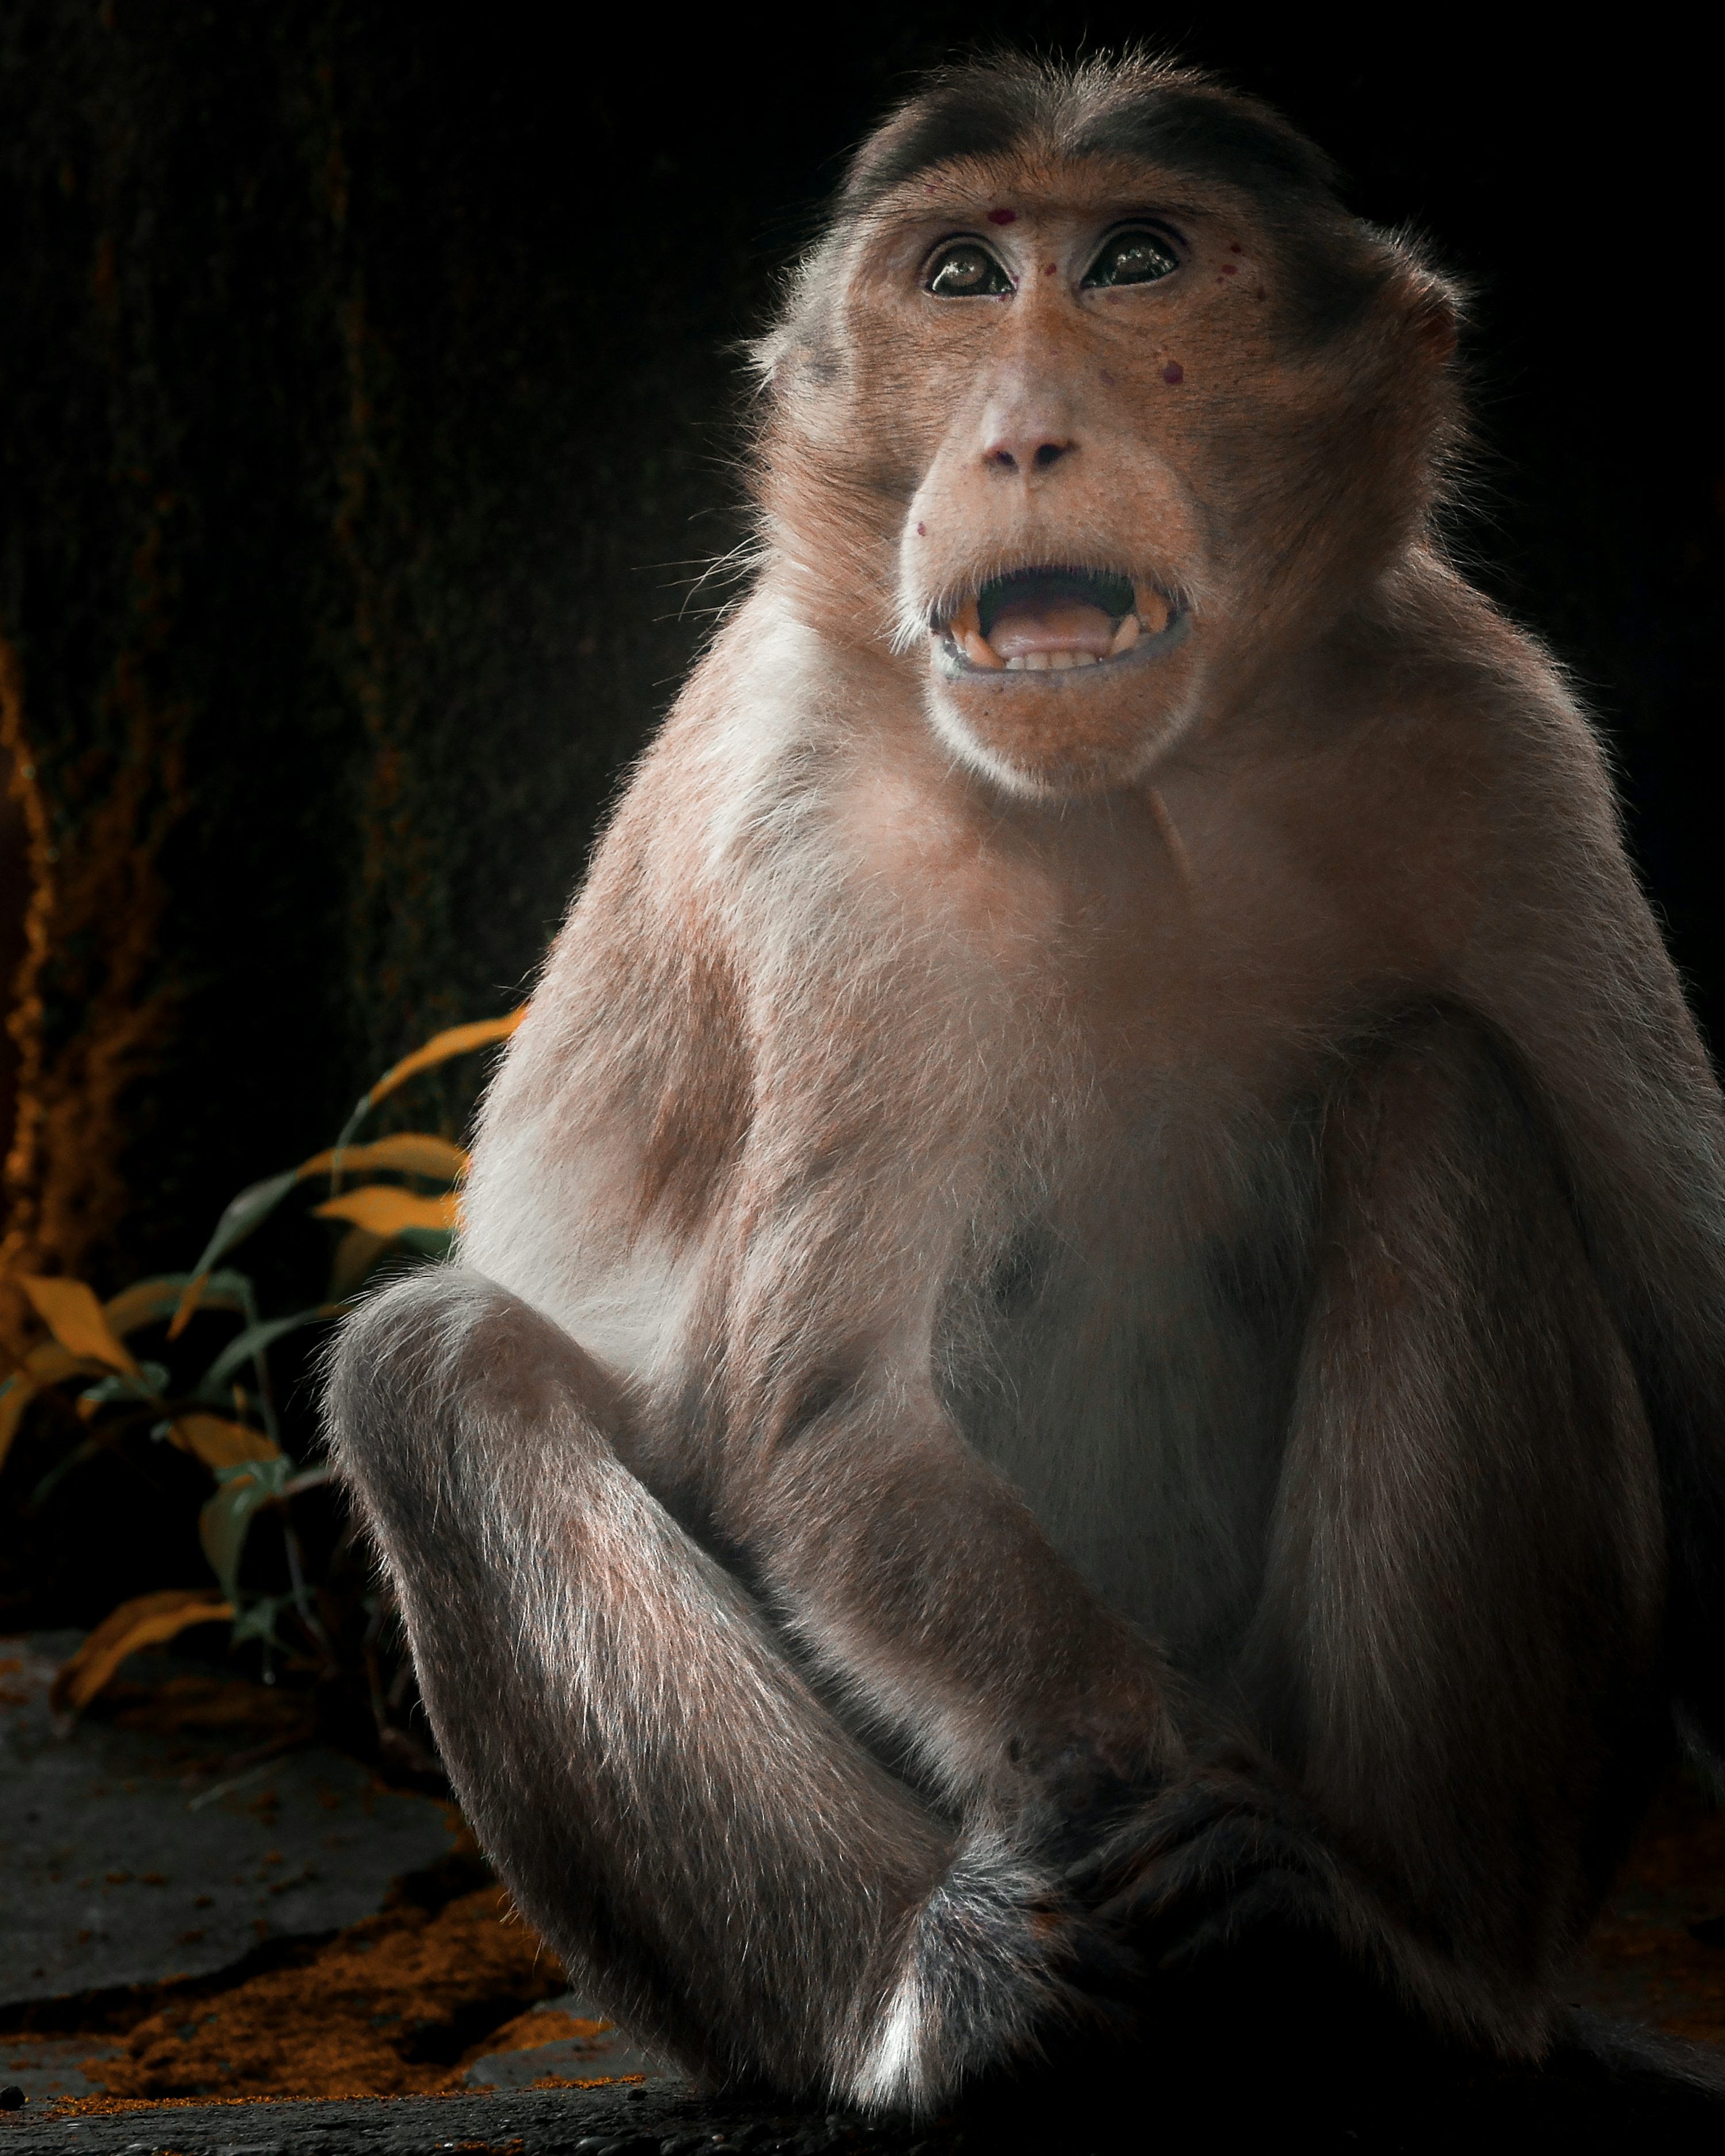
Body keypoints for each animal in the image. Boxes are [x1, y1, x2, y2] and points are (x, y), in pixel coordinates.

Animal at [327, 50, 1725, 2119]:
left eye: (1135, 262)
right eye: (964, 277)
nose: (1020, 439)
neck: (1137, 792)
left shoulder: (1491, 744)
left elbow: (1701, 1342)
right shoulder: (818, 823)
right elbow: (826, 1415)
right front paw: (1110, 1812)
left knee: (1442, 1105)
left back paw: (1404, 1962)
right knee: (428, 1374)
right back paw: (938, 1992)